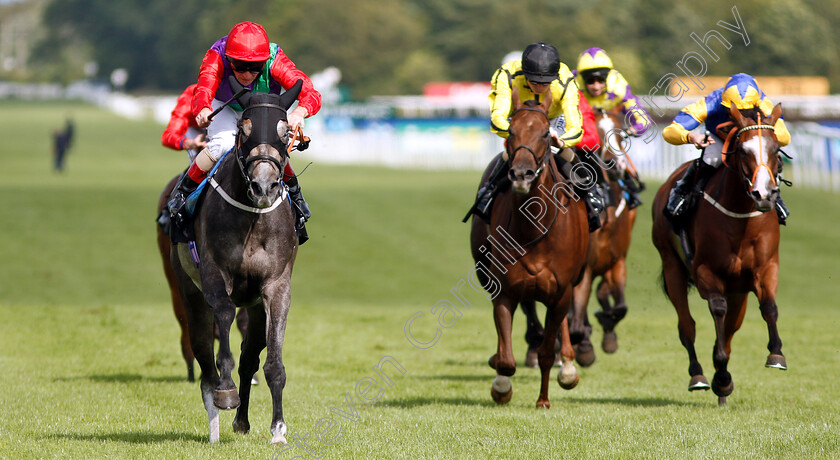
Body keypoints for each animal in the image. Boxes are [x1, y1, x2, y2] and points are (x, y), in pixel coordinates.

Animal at [466, 88, 592, 408]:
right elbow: (507, 359)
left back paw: (568, 367)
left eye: (546, 133)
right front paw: (501, 386)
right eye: (511, 130)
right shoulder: (505, 290)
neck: (535, 228)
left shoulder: (560, 291)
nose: (521, 174)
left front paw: (543, 400)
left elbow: (548, 352)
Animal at [652, 102, 784, 404]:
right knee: (687, 326)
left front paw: (776, 354)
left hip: (738, 290)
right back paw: (700, 376)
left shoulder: (766, 268)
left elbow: (769, 307)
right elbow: (716, 310)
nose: (764, 194)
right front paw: (721, 376)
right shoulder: (706, 272)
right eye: (743, 150)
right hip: (672, 266)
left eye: (775, 150)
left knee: (731, 327)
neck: (741, 217)